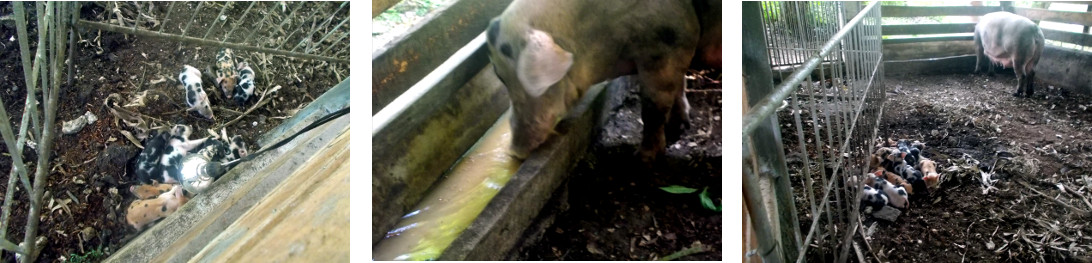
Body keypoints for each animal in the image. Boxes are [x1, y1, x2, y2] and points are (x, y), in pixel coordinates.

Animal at [484, 0, 716, 161]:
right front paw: (678, 127)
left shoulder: (666, 43)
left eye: (503, 76)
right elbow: (678, 88)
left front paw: (641, 158)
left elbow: (652, 108)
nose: (514, 152)